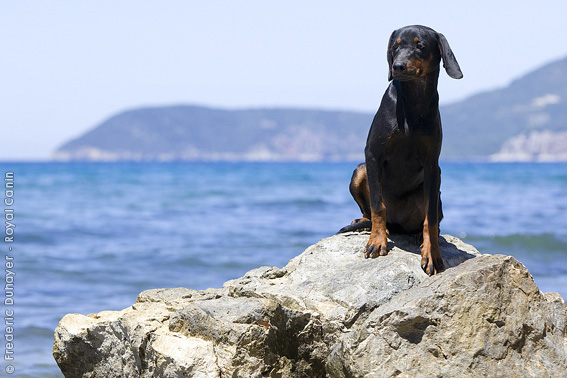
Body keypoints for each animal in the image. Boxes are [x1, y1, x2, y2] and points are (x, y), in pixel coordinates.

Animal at [340, 25, 464, 274]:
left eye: (420, 45)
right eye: (395, 46)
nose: (397, 66)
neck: (414, 102)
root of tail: (398, 224)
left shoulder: (432, 164)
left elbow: (430, 218)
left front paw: (431, 252)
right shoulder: (373, 154)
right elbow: (378, 205)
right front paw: (376, 241)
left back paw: (418, 236)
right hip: (360, 171)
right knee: (370, 211)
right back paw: (367, 224)